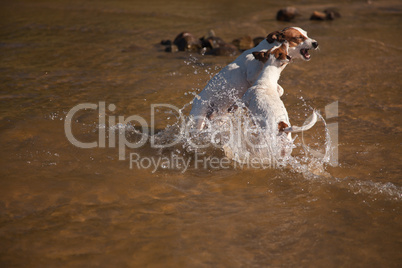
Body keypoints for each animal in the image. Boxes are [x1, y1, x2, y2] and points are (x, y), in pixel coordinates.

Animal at [188, 26, 318, 130]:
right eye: (299, 37)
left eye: (306, 34)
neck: (266, 48)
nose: (316, 43)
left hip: (220, 118)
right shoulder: (252, 75)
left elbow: (281, 89)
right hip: (198, 118)